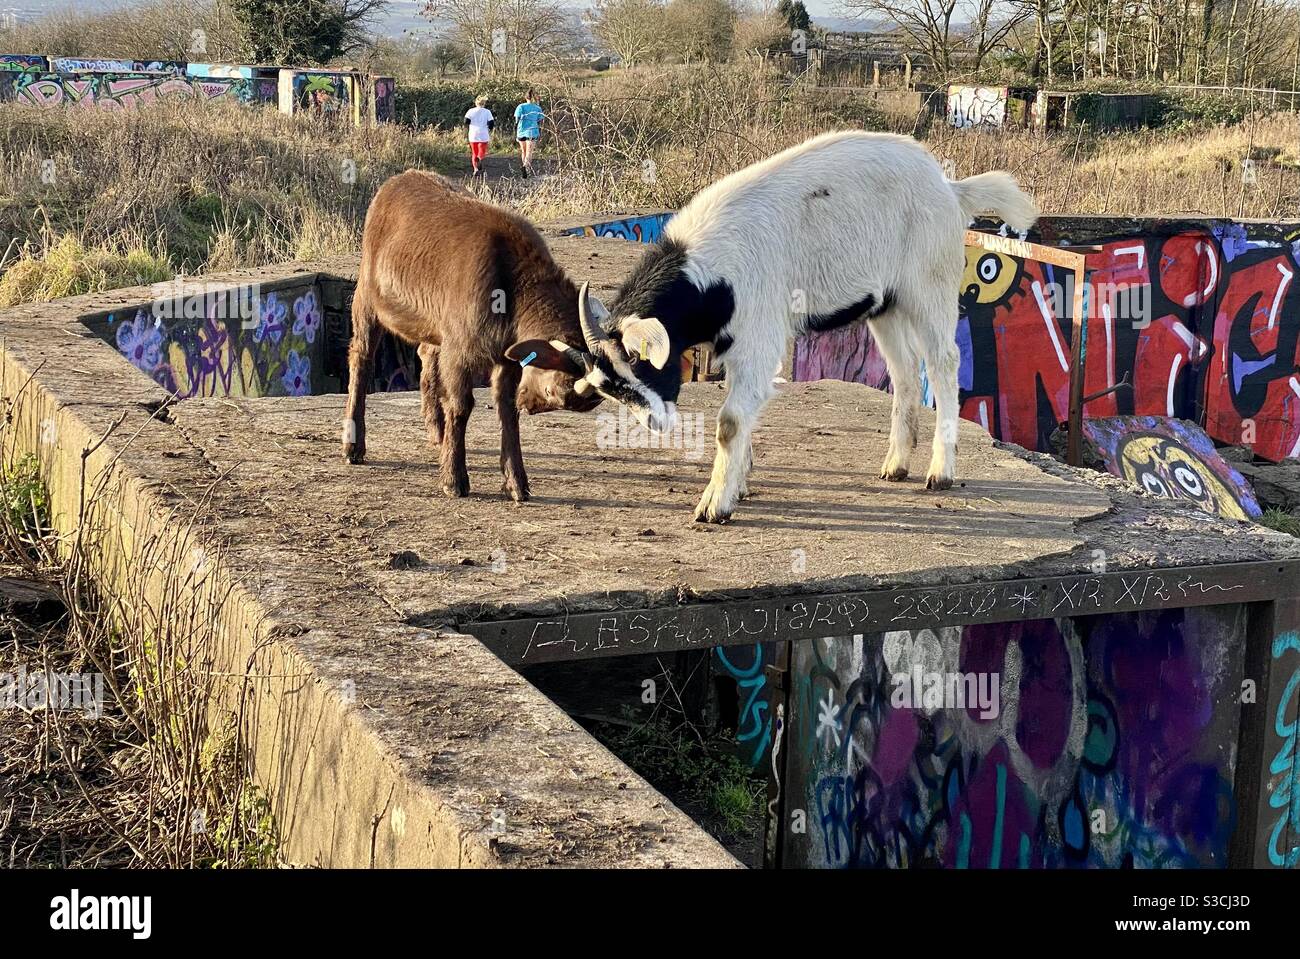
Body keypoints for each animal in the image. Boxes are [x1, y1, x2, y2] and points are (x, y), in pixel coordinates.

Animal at [342, 170, 599, 500]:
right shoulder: (459, 349)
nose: (529, 405)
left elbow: (505, 408)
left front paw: (516, 483)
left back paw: (437, 430)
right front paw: (454, 480)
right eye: (553, 390)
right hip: (367, 296)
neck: (513, 286)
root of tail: (396, 181)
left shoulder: (506, 355)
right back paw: (354, 446)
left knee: (427, 356)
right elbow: (461, 406)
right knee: (361, 358)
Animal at [571, 130, 1038, 523]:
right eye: (610, 389)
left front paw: (715, 505)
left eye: (640, 362)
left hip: (929, 284)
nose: (655, 424)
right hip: (884, 305)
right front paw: (739, 485)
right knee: (904, 372)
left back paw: (940, 472)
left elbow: (731, 420)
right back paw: (896, 465)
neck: (709, 273)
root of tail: (952, 190)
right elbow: (744, 409)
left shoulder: (758, 332)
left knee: (943, 361)